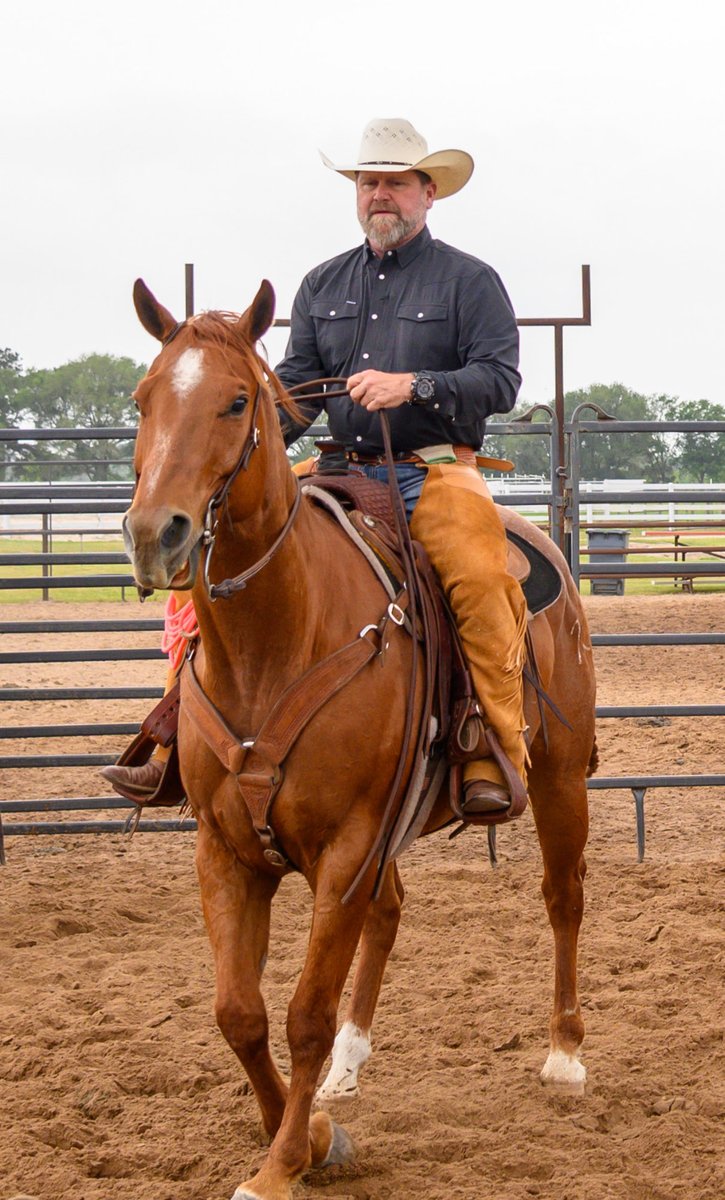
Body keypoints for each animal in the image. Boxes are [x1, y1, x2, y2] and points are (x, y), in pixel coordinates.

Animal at [124, 277, 596, 1200]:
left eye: (237, 401)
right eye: (143, 399)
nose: (154, 533)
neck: (277, 641)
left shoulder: (345, 847)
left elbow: (302, 1013)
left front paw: (282, 1162)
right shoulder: (226, 849)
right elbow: (238, 1012)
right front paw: (307, 1129)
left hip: (560, 779)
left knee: (561, 897)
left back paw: (563, 1054)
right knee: (391, 912)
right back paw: (349, 1065)